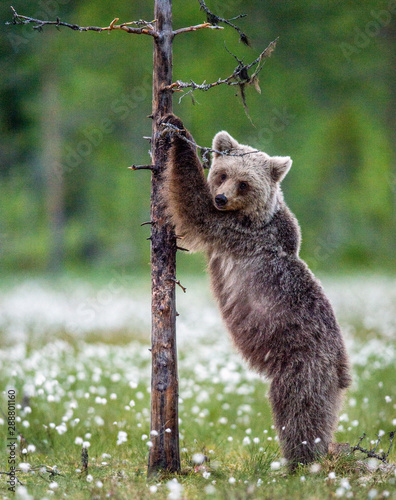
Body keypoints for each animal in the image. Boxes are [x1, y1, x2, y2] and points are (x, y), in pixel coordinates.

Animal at [161, 113, 350, 468]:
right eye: (223, 173)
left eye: (244, 183)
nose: (221, 198)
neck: (253, 217)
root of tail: (341, 366)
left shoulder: (235, 233)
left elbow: (194, 206)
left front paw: (177, 131)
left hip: (303, 362)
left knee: (299, 410)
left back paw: (301, 460)